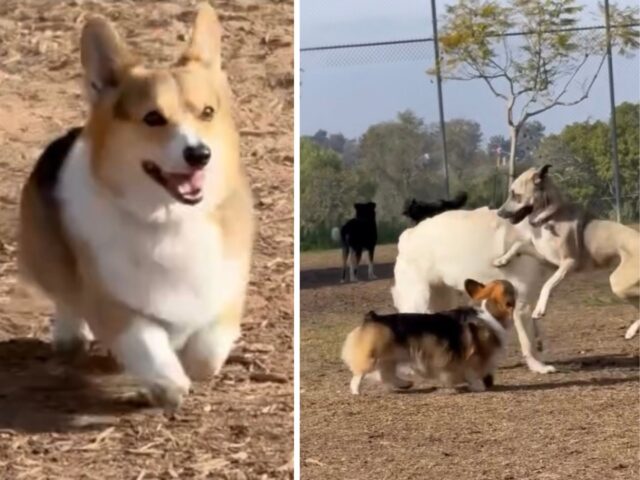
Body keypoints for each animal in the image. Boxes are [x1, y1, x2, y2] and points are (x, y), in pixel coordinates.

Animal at [18, 2, 252, 412]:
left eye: (207, 113)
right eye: (153, 118)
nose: (199, 154)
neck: (169, 219)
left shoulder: (228, 286)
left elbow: (207, 350)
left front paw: (191, 363)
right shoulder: (111, 299)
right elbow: (143, 339)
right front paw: (168, 382)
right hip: (48, 256)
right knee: (65, 296)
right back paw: (70, 334)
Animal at [496, 167, 640, 340]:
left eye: (516, 195)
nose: (499, 213)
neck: (549, 218)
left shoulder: (568, 263)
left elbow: (548, 284)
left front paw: (539, 308)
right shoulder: (547, 259)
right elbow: (518, 245)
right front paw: (502, 260)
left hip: (618, 283)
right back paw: (632, 331)